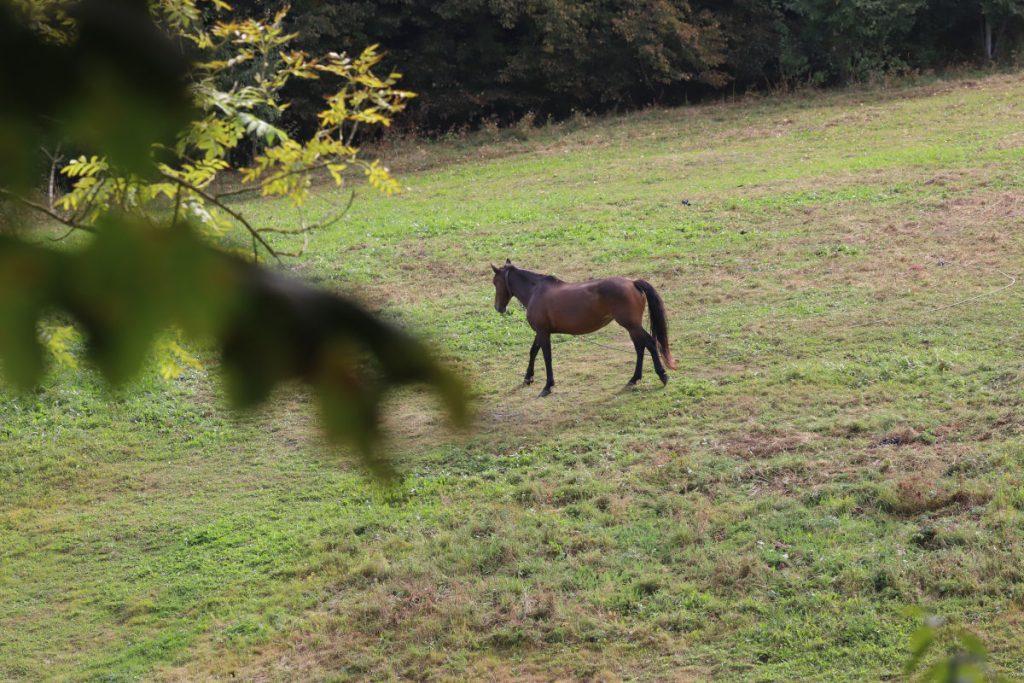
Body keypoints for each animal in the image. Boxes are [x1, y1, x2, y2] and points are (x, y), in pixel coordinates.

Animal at [489, 259, 675, 397]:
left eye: (495, 282)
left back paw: (662, 375)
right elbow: (533, 352)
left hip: (632, 326)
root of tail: (633, 282)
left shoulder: (543, 332)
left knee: (650, 343)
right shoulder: (541, 332)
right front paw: (528, 378)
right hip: (632, 328)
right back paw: (634, 379)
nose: (498, 308)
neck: (536, 291)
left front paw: (548, 386)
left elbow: (546, 357)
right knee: (640, 347)